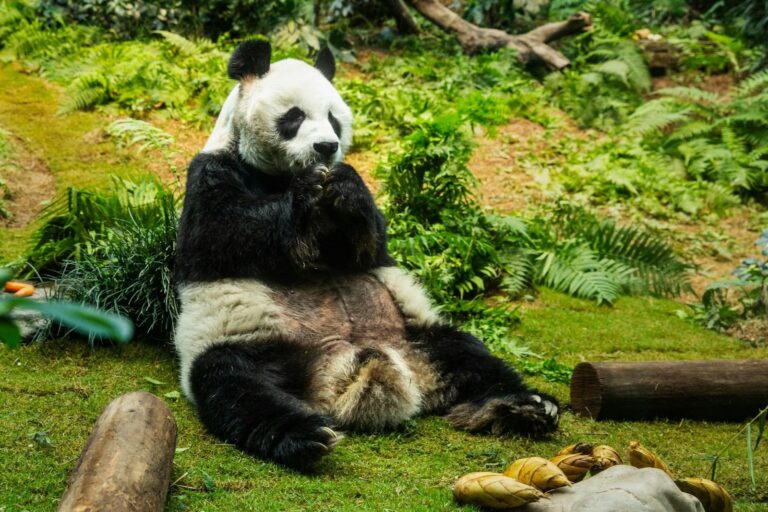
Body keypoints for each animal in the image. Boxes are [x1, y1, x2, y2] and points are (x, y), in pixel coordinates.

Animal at [174, 40, 560, 471]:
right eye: (294, 116)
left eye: (333, 119)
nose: (326, 147)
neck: (278, 174)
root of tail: (342, 368)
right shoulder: (213, 171)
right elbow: (220, 233)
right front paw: (304, 194)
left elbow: (370, 243)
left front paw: (346, 187)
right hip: (246, 339)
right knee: (235, 383)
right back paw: (304, 434)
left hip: (419, 333)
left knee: (471, 357)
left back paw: (524, 406)